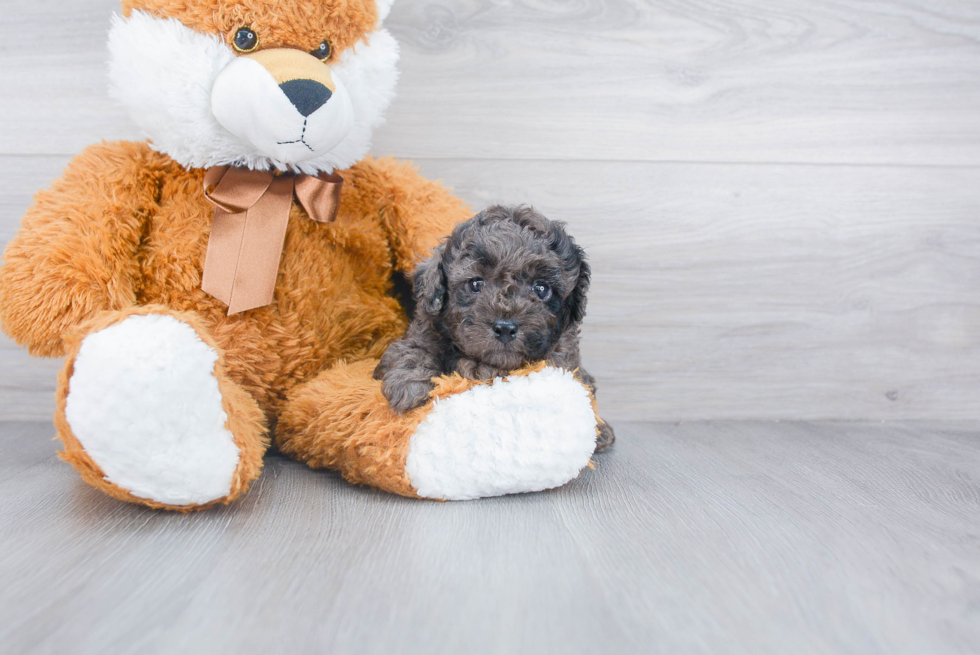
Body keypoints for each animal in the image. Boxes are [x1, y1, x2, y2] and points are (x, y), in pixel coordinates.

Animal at [374, 205, 612, 452]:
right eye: (475, 283)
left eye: (541, 288)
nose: (505, 328)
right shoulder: (421, 332)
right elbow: (413, 350)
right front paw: (409, 386)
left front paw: (597, 428)